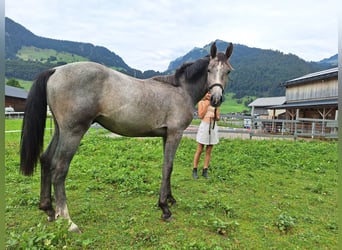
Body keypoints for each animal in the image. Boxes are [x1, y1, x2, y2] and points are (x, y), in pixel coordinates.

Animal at [20, 41, 234, 232]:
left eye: (228, 71)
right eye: (209, 70)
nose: (216, 99)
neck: (181, 90)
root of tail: (55, 70)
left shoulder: (166, 135)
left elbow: (168, 167)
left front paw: (170, 199)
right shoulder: (175, 133)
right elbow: (168, 167)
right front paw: (164, 208)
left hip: (60, 130)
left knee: (46, 160)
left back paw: (48, 209)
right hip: (73, 132)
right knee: (59, 169)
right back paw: (68, 221)